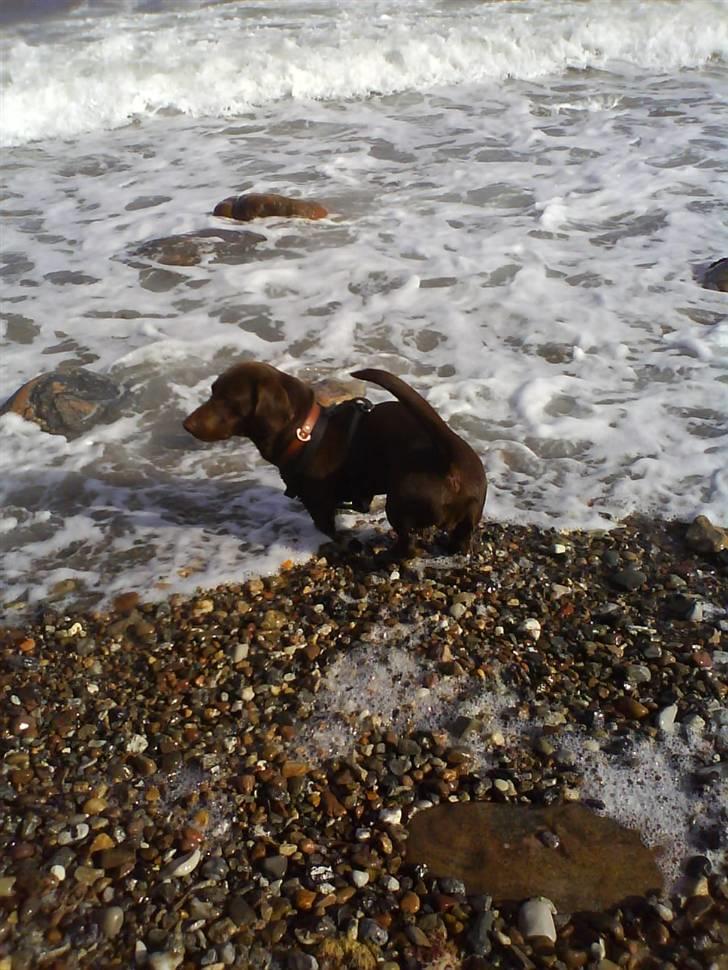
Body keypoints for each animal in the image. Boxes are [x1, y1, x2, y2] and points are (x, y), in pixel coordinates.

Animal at [183, 362, 490, 556]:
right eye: (212, 391)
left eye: (227, 400)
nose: (186, 424)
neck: (304, 434)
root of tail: (451, 461)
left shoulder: (319, 505)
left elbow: (330, 530)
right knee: (461, 540)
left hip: (398, 502)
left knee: (408, 544)